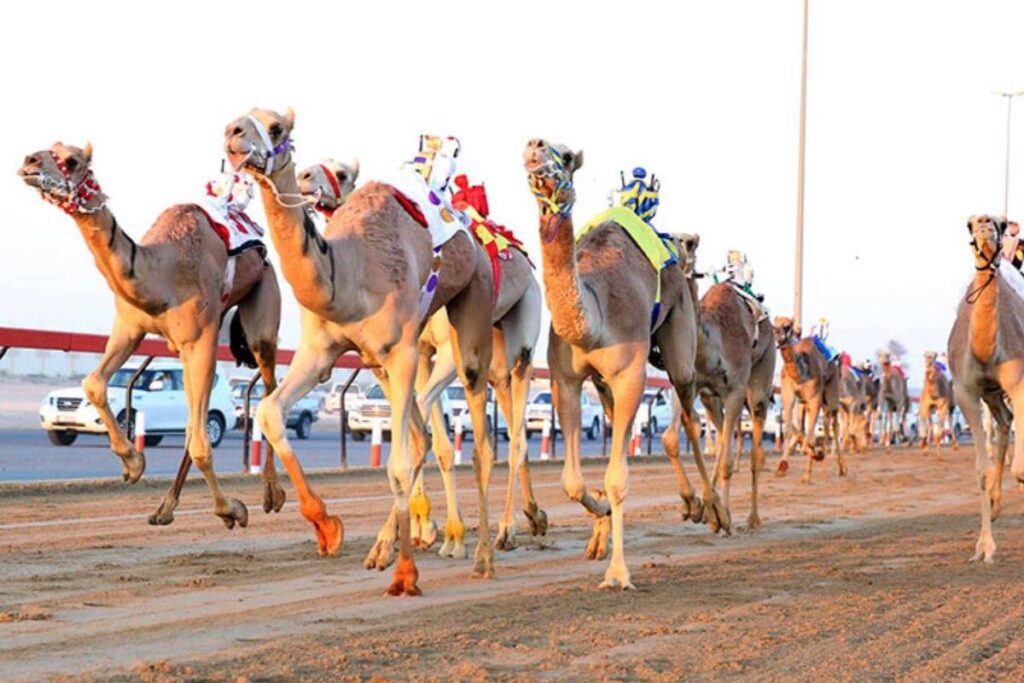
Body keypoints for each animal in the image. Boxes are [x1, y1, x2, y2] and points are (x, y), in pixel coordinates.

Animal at [18, 143, 284, 528]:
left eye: (72, 160)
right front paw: (133, 464)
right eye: (50, 148)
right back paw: (165, 507)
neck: (161, 275)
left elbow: (201, 441)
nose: (30, 162)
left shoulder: (199, 339)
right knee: (196, 419)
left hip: (263, 307)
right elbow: (94, 384)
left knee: (268, 387)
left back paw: (273, 494)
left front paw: (232, 510)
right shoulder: (130, 327)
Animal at [225, 108, 498, 595]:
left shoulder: (403, 351)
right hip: (390, 364)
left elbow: (397, 466)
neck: (348, 274)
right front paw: (327, 528)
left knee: (477, 440)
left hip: (470, 309)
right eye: (245, 117)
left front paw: (406, 576)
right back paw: (386, 548)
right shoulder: (321, 352)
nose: (234, 132)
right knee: (422, 436)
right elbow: (271, 413)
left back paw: (481, 556)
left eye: (276, 127)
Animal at [297, 160, 548, 554]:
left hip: (524, 327)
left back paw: (507, 530)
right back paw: (534, 516)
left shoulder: (443, 353)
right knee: (509, 415)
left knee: (519, 432)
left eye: (342, 173)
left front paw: (436, 534)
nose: (306, 176)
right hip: (495, 351)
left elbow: (426, 426)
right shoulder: (418, 348)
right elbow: (426, 433)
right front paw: (424, 528)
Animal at [523, 139, 727, 590]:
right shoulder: (566, 379)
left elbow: (617, 479)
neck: (593, 317)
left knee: (688, 416)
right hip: (602, 383)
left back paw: (713, 508)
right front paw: (598, 515)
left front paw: (617, 573)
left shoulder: (631, 375)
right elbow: (572, 481)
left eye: (565, 156)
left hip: (680, 340)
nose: (534, 148)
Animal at [773, 317, 844, 483]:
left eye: (788, 326)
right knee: (821, 424)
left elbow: (810, 438)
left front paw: (817, 455)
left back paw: (840, 468)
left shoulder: (815, 398)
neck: (799, 375)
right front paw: (782, 466)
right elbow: (790, 429)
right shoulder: (788, 395)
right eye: (774, 324)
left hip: (832, 393)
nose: (778, 335)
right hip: (807, 403)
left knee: (834, 424)